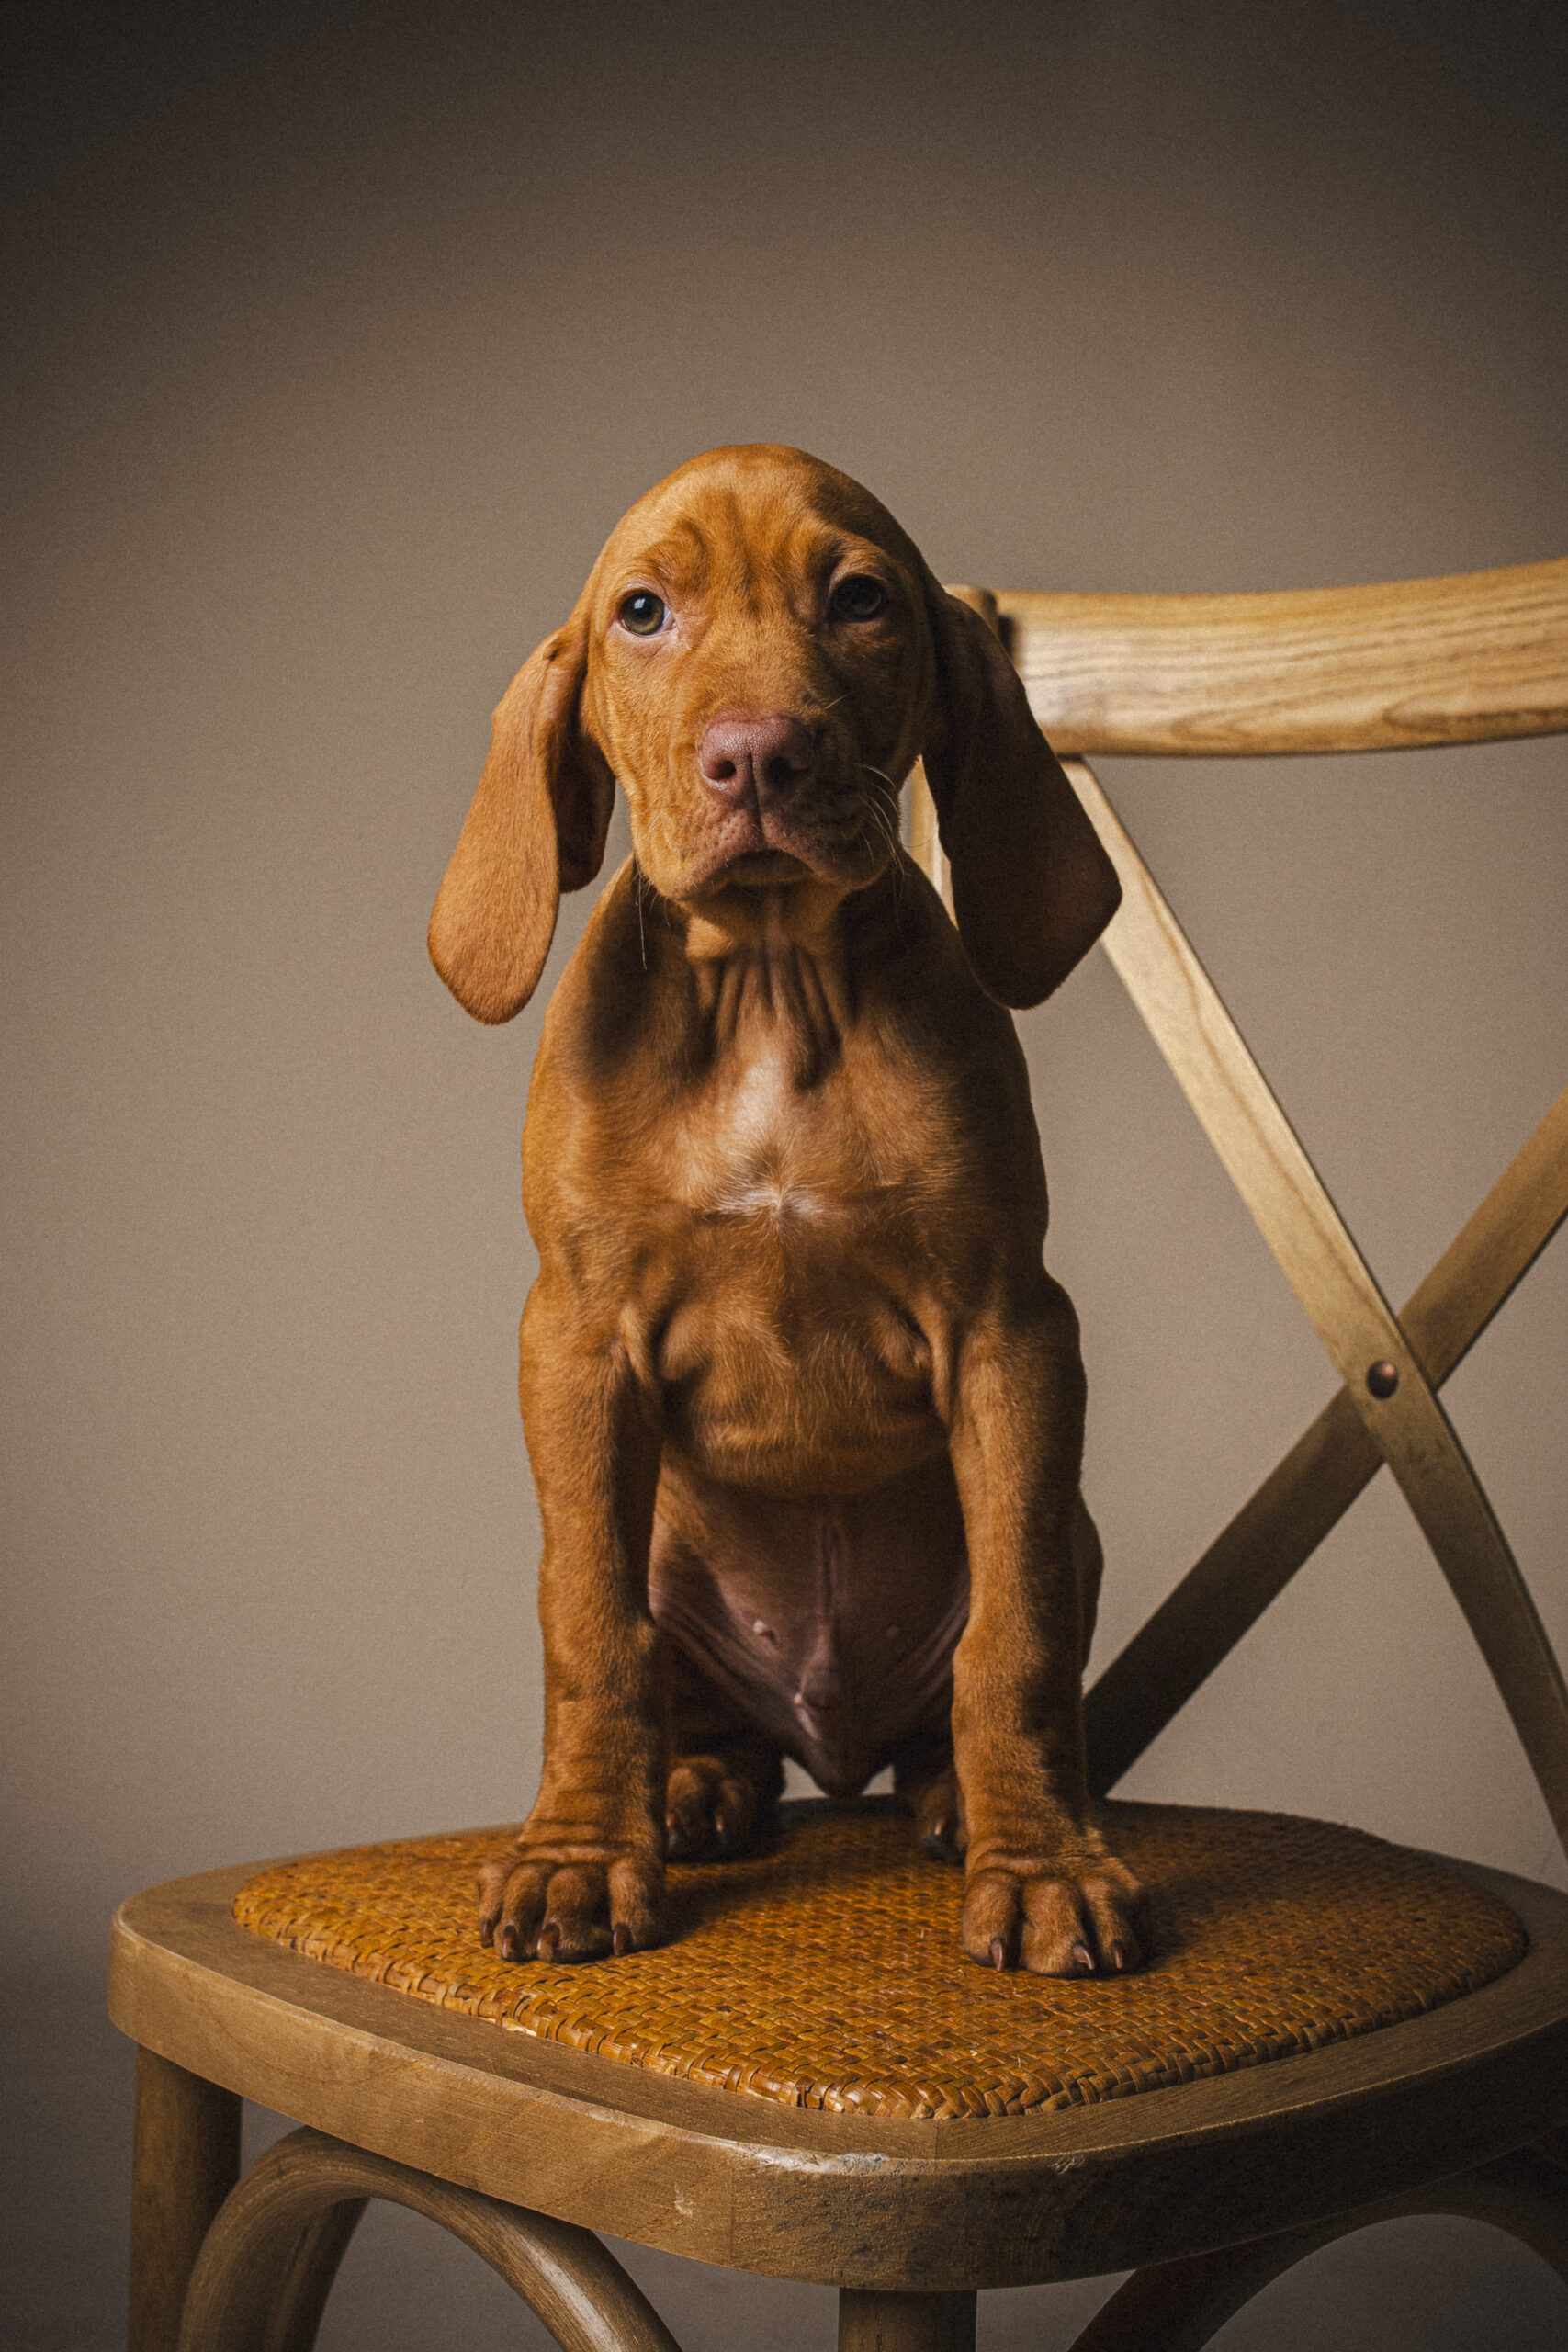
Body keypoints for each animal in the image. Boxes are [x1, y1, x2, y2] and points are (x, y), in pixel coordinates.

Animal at [434, 444, 1146, 1984]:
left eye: (861, 600)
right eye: (642, 612)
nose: (757, 754)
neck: (766, 978)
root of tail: (831, 1744)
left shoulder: (1010, 1331)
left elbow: (1014, 1638)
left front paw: (1043, 1868)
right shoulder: (573, 1344)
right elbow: (591, 1635)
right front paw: (577, 1856)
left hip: (1066, 1530)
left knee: (977, 1681)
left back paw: (955, 1798)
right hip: (665, 1547)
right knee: (679, 1688)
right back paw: (692, 1790)